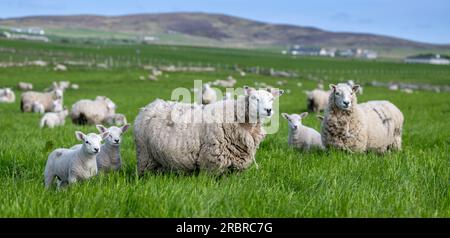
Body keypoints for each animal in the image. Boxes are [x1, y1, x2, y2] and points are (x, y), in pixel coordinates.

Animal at [132, 85, 284, 175]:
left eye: (272, 99)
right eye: (254, 98)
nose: (268, 110)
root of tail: (149, 106)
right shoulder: (211, 158)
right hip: (145, 154)